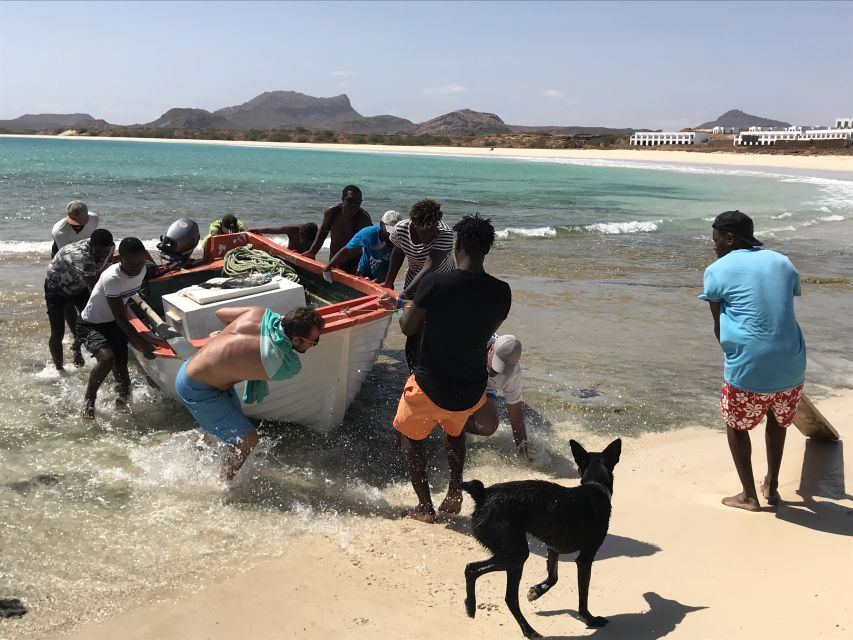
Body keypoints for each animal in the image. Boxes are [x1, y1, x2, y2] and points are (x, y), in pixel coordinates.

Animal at [462, 438, 624, 636]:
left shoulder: (553, 548)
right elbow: (583, 595)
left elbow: (553, 577)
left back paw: (471, 606)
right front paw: (589, 619)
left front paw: (536, 591)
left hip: (508, 551)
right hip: (516, 554)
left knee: (474, 571)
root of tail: (483, 494)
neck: (595, 486)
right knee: (502, 592)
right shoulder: (586, 557)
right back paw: (528, 631)